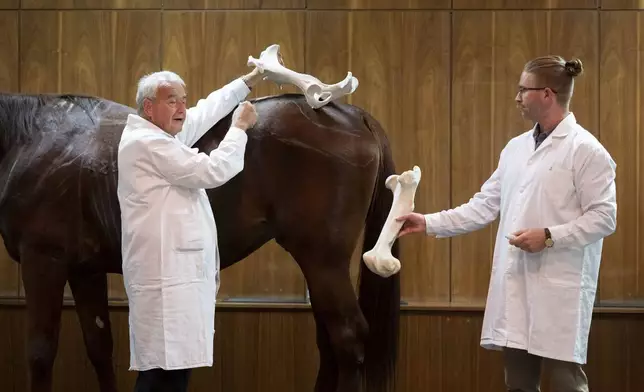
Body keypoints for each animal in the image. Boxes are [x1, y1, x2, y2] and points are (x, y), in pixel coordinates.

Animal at [0, 92, 400, 392]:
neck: (34, 139)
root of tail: (350, 113)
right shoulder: (85, 270)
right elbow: (99, 346)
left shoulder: (44, 261)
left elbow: (40, 352)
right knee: (329, 341)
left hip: (324, 261)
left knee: (348, 338)